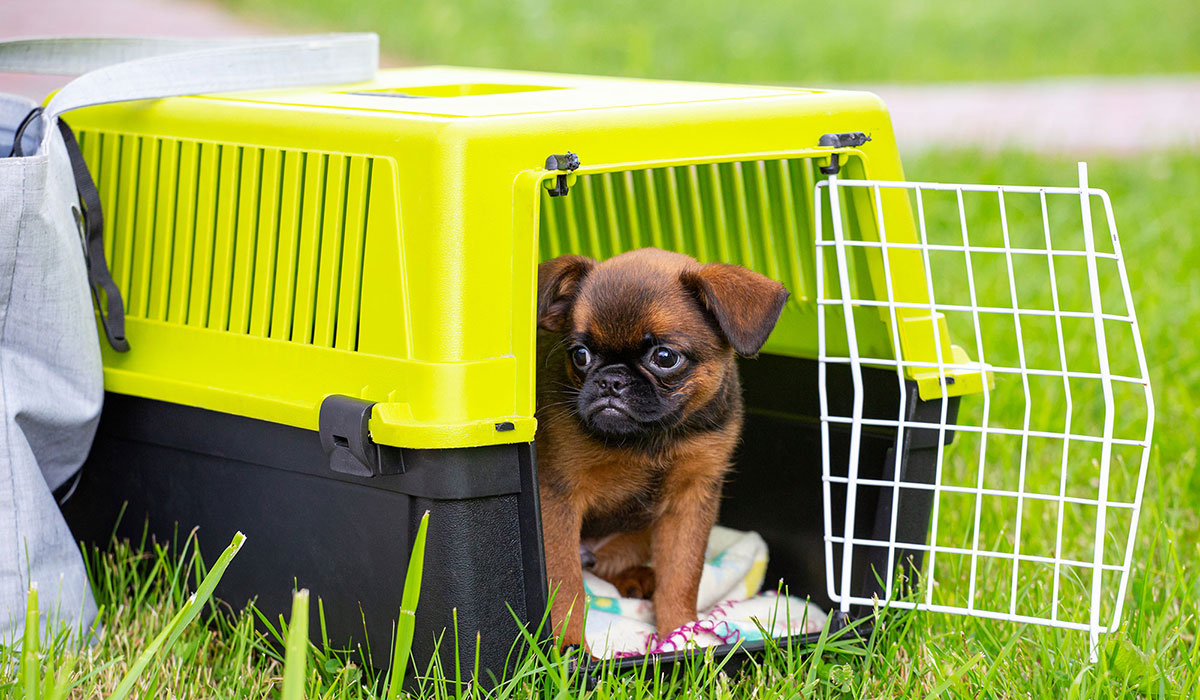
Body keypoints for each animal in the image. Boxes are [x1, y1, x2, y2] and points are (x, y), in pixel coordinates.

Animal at [534, 248, 789, 649]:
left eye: (665, 358)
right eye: (579, 355)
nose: (611, 380)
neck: (648, 439)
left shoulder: (691, 502)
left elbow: (682, 574)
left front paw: (682, 636)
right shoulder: (557, 499)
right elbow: (566, 582)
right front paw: (568, 649)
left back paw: (637, 580)